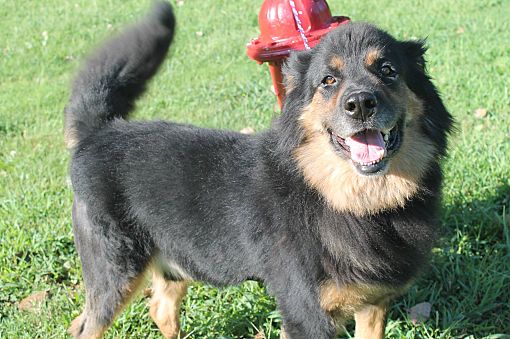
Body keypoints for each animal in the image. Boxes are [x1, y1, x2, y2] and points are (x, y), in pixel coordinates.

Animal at [63, 1, 450, 338]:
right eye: (328, 80)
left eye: (388, 71)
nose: (360, 104)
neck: (342, 199)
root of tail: (99, 132)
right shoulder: (306, 315)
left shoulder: (372, 305)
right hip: (115, 272)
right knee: (84, 327)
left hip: (174, 262)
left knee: (160, 309)